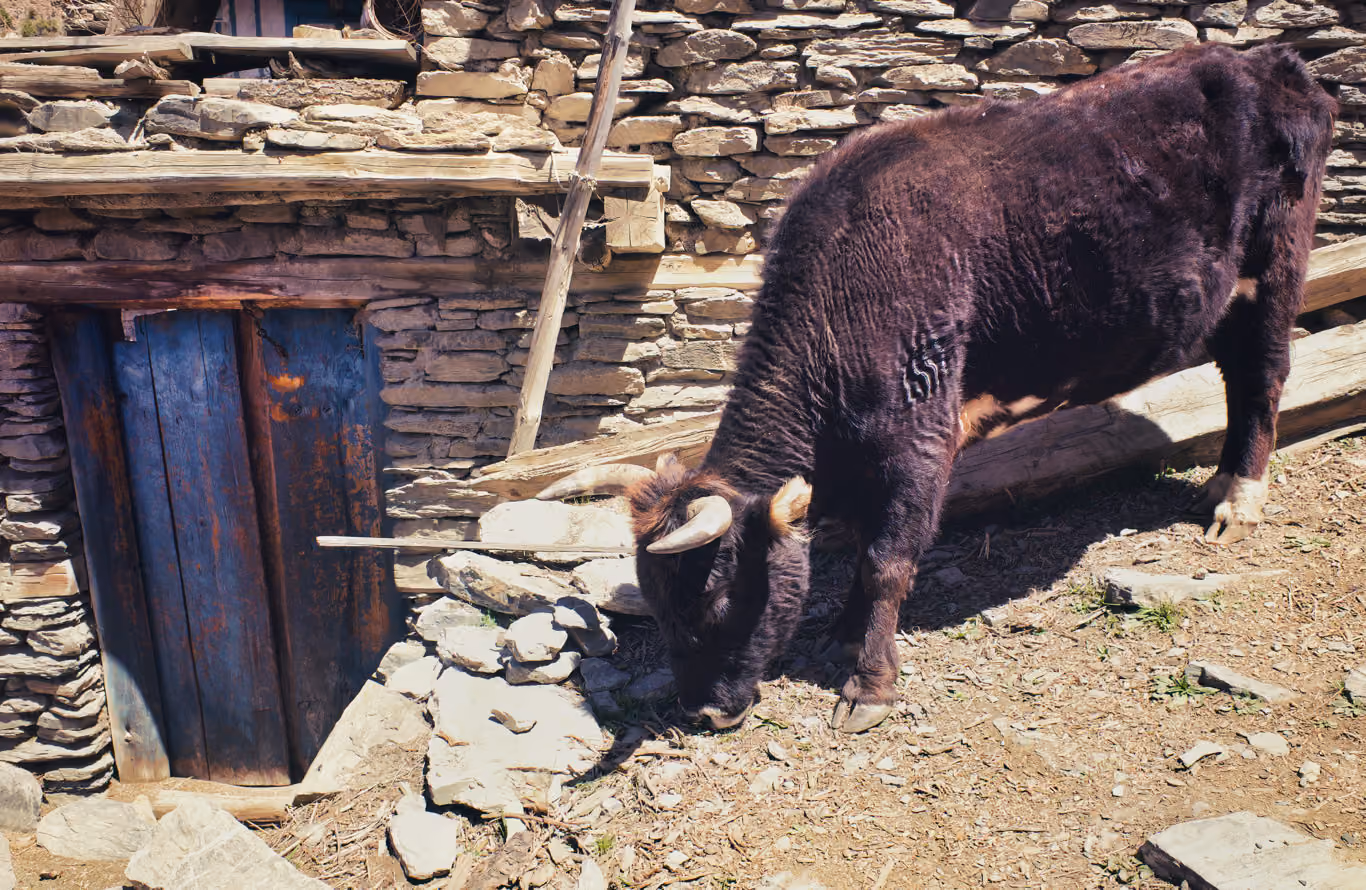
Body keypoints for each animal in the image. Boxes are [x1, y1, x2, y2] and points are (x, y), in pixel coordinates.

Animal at [539, 43, 1337, 734]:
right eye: (657, 603)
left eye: (714, 596)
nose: (702, 712)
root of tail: (1268, 63)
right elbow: (860, 547)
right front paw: (840, 632)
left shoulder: (921, 436)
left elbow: (887, 559)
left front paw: (869, 684)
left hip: (1276, 266)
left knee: (1261, 376)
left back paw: (1238, 499)